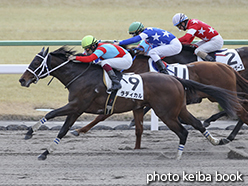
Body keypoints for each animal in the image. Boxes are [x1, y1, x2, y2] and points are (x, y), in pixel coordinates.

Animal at [72, 53, 248, 143]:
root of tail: (227, 67)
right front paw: (79, 130)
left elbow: (102, 115)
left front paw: (79, 130)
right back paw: (228, 135)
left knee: (240, 109)